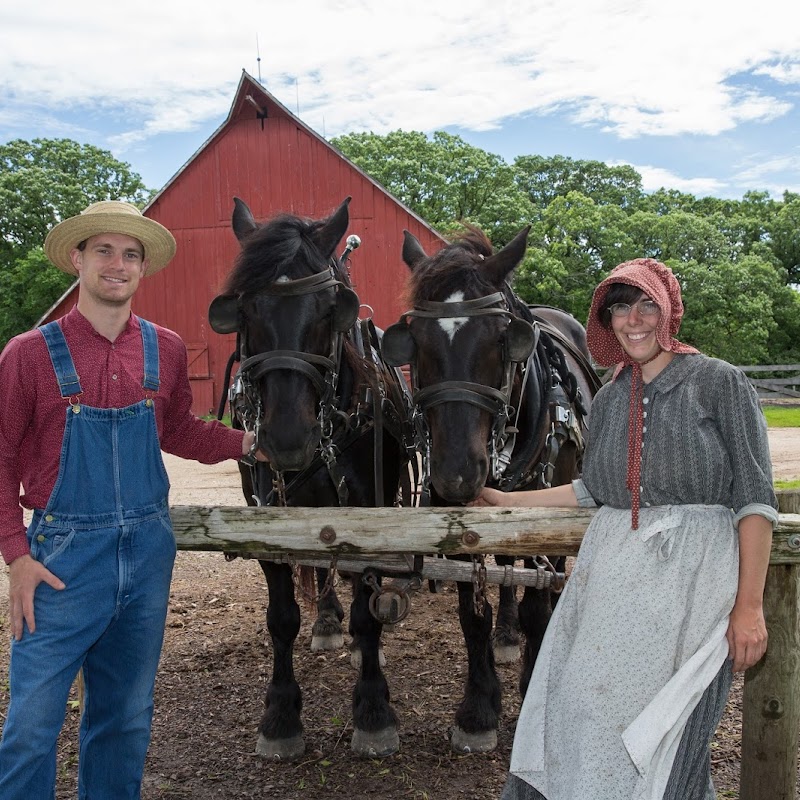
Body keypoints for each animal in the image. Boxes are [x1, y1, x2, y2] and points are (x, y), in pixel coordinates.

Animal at [206, 197, 412, 760]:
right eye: (245, 310)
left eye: (328, 309)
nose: (286, 438)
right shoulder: (267, 514)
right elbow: (281, 617)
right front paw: (280, 714)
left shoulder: (369, 512)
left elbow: (368, 613)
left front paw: (373, 709)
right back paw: (325, 620)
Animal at [382, 222, 600, 752]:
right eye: (413, 342)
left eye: (504, 340)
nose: (458, 473)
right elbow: (472, 611)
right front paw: (479, 709)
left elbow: (539, 604)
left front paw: (531, 688)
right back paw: (506, 635)